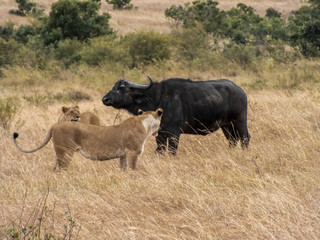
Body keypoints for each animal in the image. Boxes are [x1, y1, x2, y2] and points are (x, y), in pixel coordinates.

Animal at [102, 76, 250, 155]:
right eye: (114, 86)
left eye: (121, 88)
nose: (105, 99)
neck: (158, 99)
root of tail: (240, 90)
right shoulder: (160, 134)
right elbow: (161, 151)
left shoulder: (174, 133)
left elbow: (172, 151)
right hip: (226, 126)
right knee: (232, 140)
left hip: (239, 121)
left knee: (245, 138)